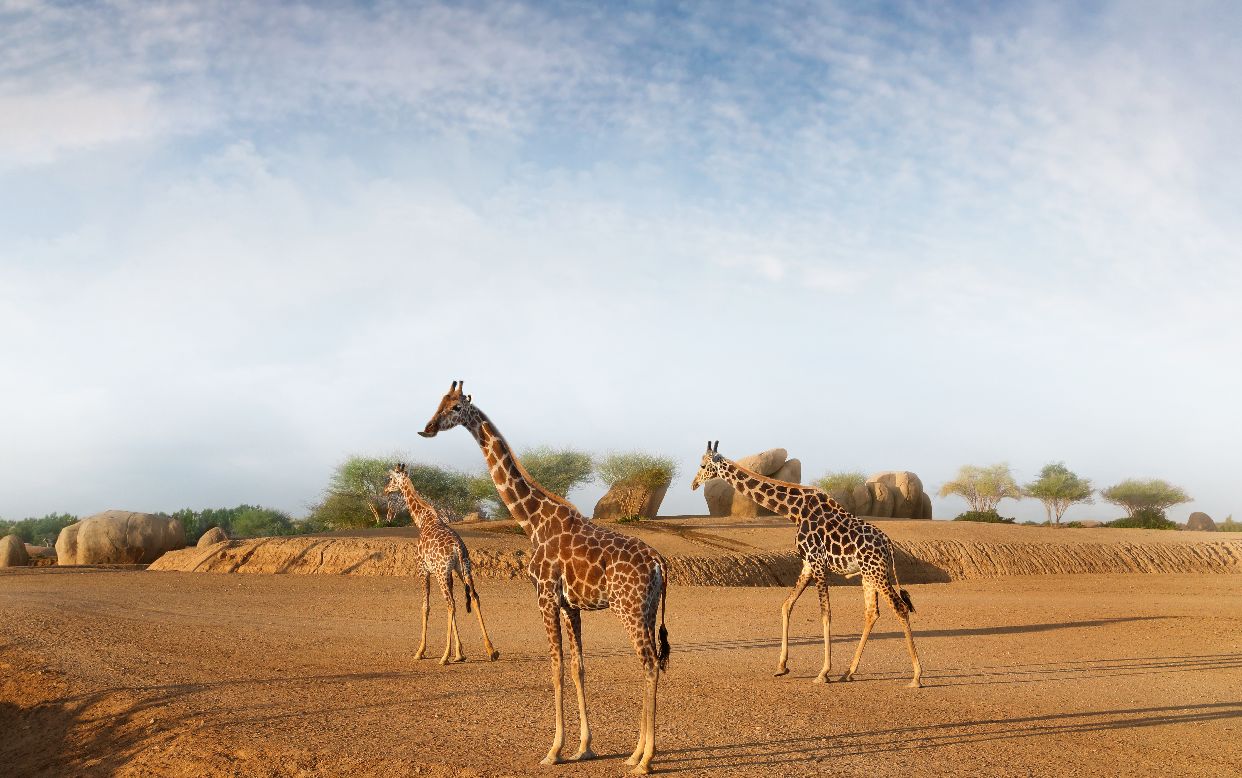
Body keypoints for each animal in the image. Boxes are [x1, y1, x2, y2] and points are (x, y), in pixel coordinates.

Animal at [382, 457, 499, 661]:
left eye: (390, 478)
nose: (385, 489)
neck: (422, 519)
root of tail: (457, 547)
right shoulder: (450, 572)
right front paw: (460, 653)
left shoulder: (423, 569)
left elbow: (425, 606)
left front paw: (420, 651)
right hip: (464, 568)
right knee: (473, 597)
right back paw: (491, 650)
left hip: (441, 572)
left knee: (450, 603)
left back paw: (444, 657)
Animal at [419, 380, 675, 770]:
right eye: (439, 402)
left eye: (455, 407)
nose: (428, 428)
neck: (532, 522)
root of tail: (659, 563)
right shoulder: (571, 606)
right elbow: (577, 667)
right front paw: (584, 747)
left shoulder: (545, 597)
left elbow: (555, 669)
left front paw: (554, 750)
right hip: (645, 610)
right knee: (652, 663)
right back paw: (634, 753)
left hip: (628, 609)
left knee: (647, 663)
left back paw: (645, 759)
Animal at [690, 439, 924, 686]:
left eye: (703, 464)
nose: (694, 484)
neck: (794, 511)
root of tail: (888, 544)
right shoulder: (808, 563)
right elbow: (786, 605)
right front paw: (782, 666)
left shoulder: (818, 562)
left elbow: (825, 613)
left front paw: (823, 672)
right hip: (869, 574)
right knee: (872, 612)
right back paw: (849, 672)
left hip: (876, 571)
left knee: (899, 607)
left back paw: (916, 676)